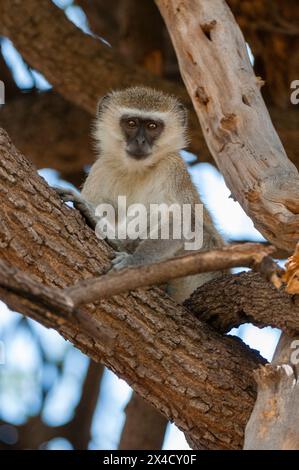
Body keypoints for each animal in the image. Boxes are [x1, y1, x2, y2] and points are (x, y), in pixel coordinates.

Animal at [58, 86, 224, 302]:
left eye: (152, 126)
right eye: (131, 123)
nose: (140, 141)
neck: (135, 170)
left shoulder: (172, 168)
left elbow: (186, 222)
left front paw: (134, 263)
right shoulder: (101, 167)